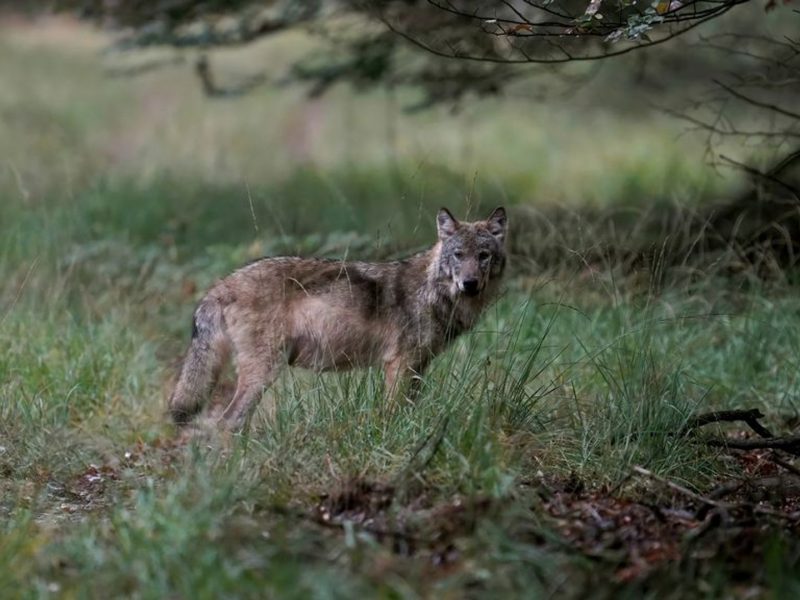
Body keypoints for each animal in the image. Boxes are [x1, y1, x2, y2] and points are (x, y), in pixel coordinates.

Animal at [168, 205, 506, 426]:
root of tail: (222, 284)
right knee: (228, 421)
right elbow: (393, 413)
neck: (433, 291)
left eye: (483, 256)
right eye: (458, 255)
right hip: (264, 372)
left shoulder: (418, 367)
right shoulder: (399, 364)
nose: (470, 283)